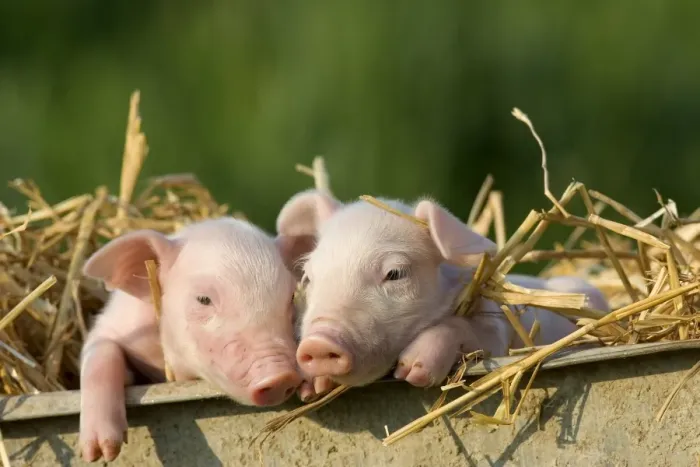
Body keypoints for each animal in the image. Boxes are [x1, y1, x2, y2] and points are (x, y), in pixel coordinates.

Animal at [78, 217, 306, 462]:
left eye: (292, 297)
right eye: (203, 299)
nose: (281, 376)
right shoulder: (112, 326)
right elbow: (99, 354)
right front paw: (101, 453)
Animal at [276, 189, 610, 392]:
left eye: (395, 273)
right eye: (308, 277)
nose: (318, 342)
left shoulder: (497, 329)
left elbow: (463, 329)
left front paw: (413, 371)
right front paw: (312, 388)